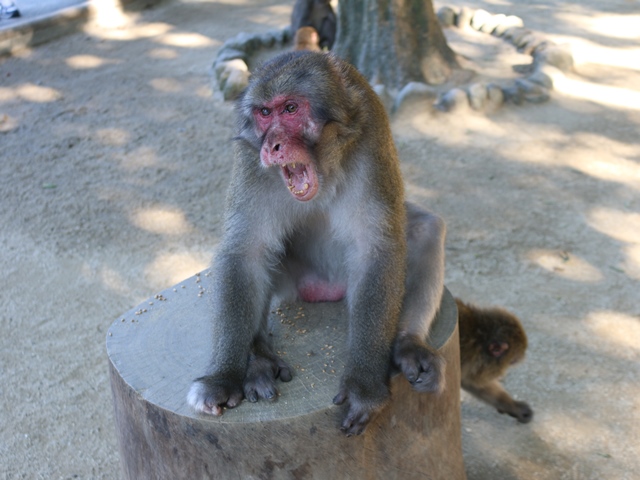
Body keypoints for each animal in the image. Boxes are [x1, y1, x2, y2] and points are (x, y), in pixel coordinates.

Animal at [185, 50, 444, 436]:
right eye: (265, 113)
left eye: (291, 108)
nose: (272, 145)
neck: (325, 166)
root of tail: (325, 288)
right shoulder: (250, 159)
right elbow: (245, 253)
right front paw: (223, 377)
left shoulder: (371, 137)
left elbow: (377, 249)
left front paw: (364, 386)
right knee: (266, 254)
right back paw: (258, 358)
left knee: (426, 228)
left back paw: (408, 343)